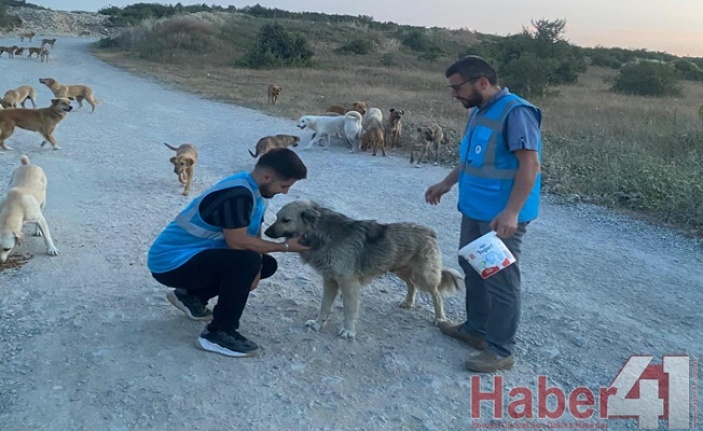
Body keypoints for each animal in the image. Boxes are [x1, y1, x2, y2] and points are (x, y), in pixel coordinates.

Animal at [264, 201, 462, 340]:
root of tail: (429, 231)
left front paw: (348, 331)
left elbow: (349, 309)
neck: (321, 234)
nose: (265, 232)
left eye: (286, 220)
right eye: (277, 216)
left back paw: (440, 318)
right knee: (411, 285)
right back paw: (408, 302)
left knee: (437, 295)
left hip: (424, 275)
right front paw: (318, 324)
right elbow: (324, 306)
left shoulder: (348, 283)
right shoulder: (330, 281)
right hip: (401, 270)